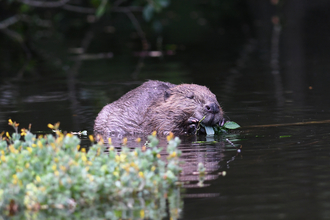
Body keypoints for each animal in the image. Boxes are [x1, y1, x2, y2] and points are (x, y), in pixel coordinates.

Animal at [94, 80, 226, 137]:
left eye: (214, 96)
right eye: (190, 97)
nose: (213, 107)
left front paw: (222, 122)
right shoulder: (156, 117)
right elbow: (166, 130)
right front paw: (191, 123)